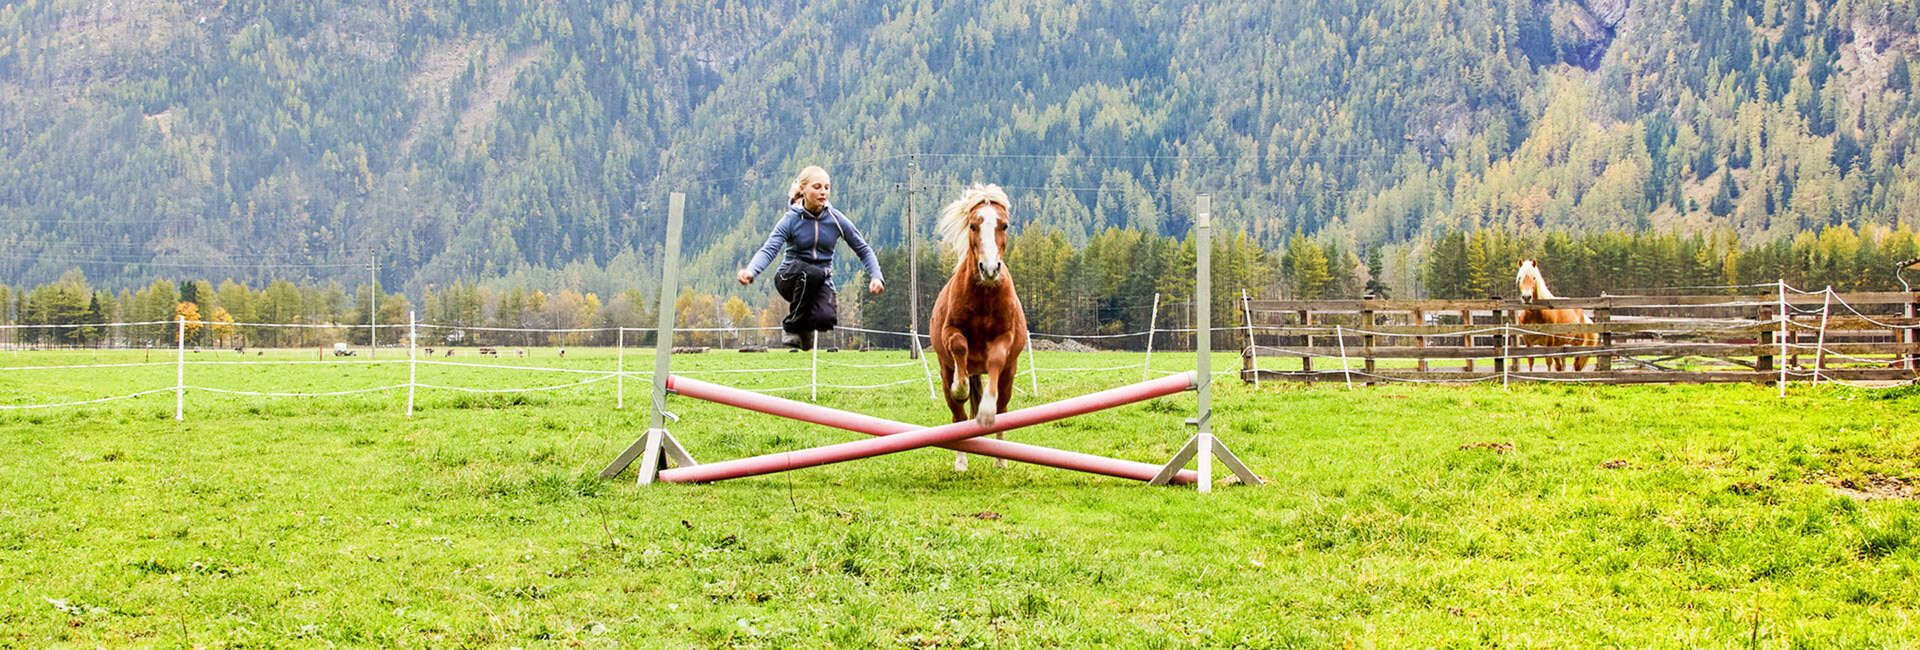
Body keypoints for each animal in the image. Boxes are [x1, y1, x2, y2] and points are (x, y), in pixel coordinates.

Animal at [933, 183, 1029, 473]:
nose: (989, 269)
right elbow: (959, 346)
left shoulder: (1004, 338)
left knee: (1004, 409)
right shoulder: (950, 330)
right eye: (974, 226)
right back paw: (961, 461)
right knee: (957, 415)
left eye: (1004, 225)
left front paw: (986, 411)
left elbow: (995, 361)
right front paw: (960, 386)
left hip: (1010, 376)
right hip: (943, 372)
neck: (985, 295)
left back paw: (1001, 458)